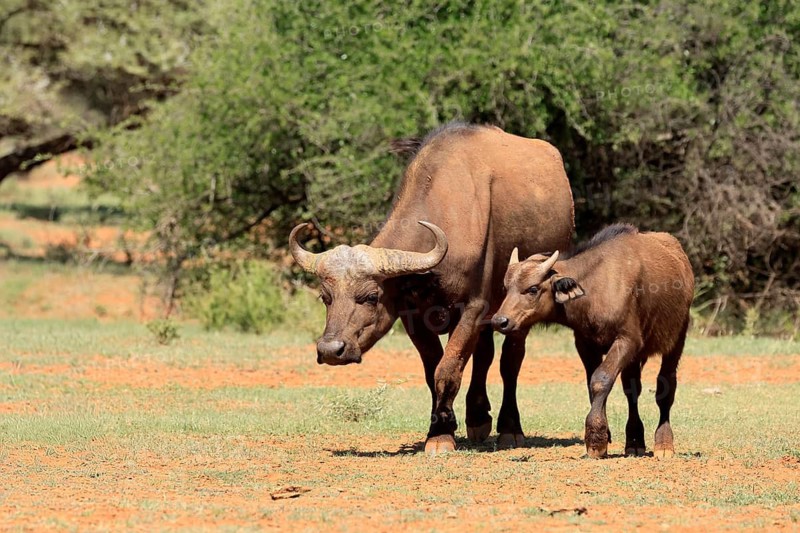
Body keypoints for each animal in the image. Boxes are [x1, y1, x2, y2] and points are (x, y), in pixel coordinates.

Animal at [290, 123, 574, 454]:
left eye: (371, 296)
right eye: (326, 297)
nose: (330, 350)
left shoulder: (472, 309)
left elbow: (447, 370)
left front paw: (441, 436)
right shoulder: (413, 316)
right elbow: (433, 370)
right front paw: (441, 426)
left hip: (519, 310)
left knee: (510, 362)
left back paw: (509, 427)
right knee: (485, 354)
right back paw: (478, 417)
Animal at [492, 224, 694, 458]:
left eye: (533, 289)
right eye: (506, 288)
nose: (500, 321)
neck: (595, 288)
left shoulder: (627, 340)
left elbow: (601, 379)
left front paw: (596, 440)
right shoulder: (586, 344)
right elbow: (594, 384)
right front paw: (604, 435)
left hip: (676, 341)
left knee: (666, 388)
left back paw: (664, 444)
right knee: (632, 390)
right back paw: (634, 441)